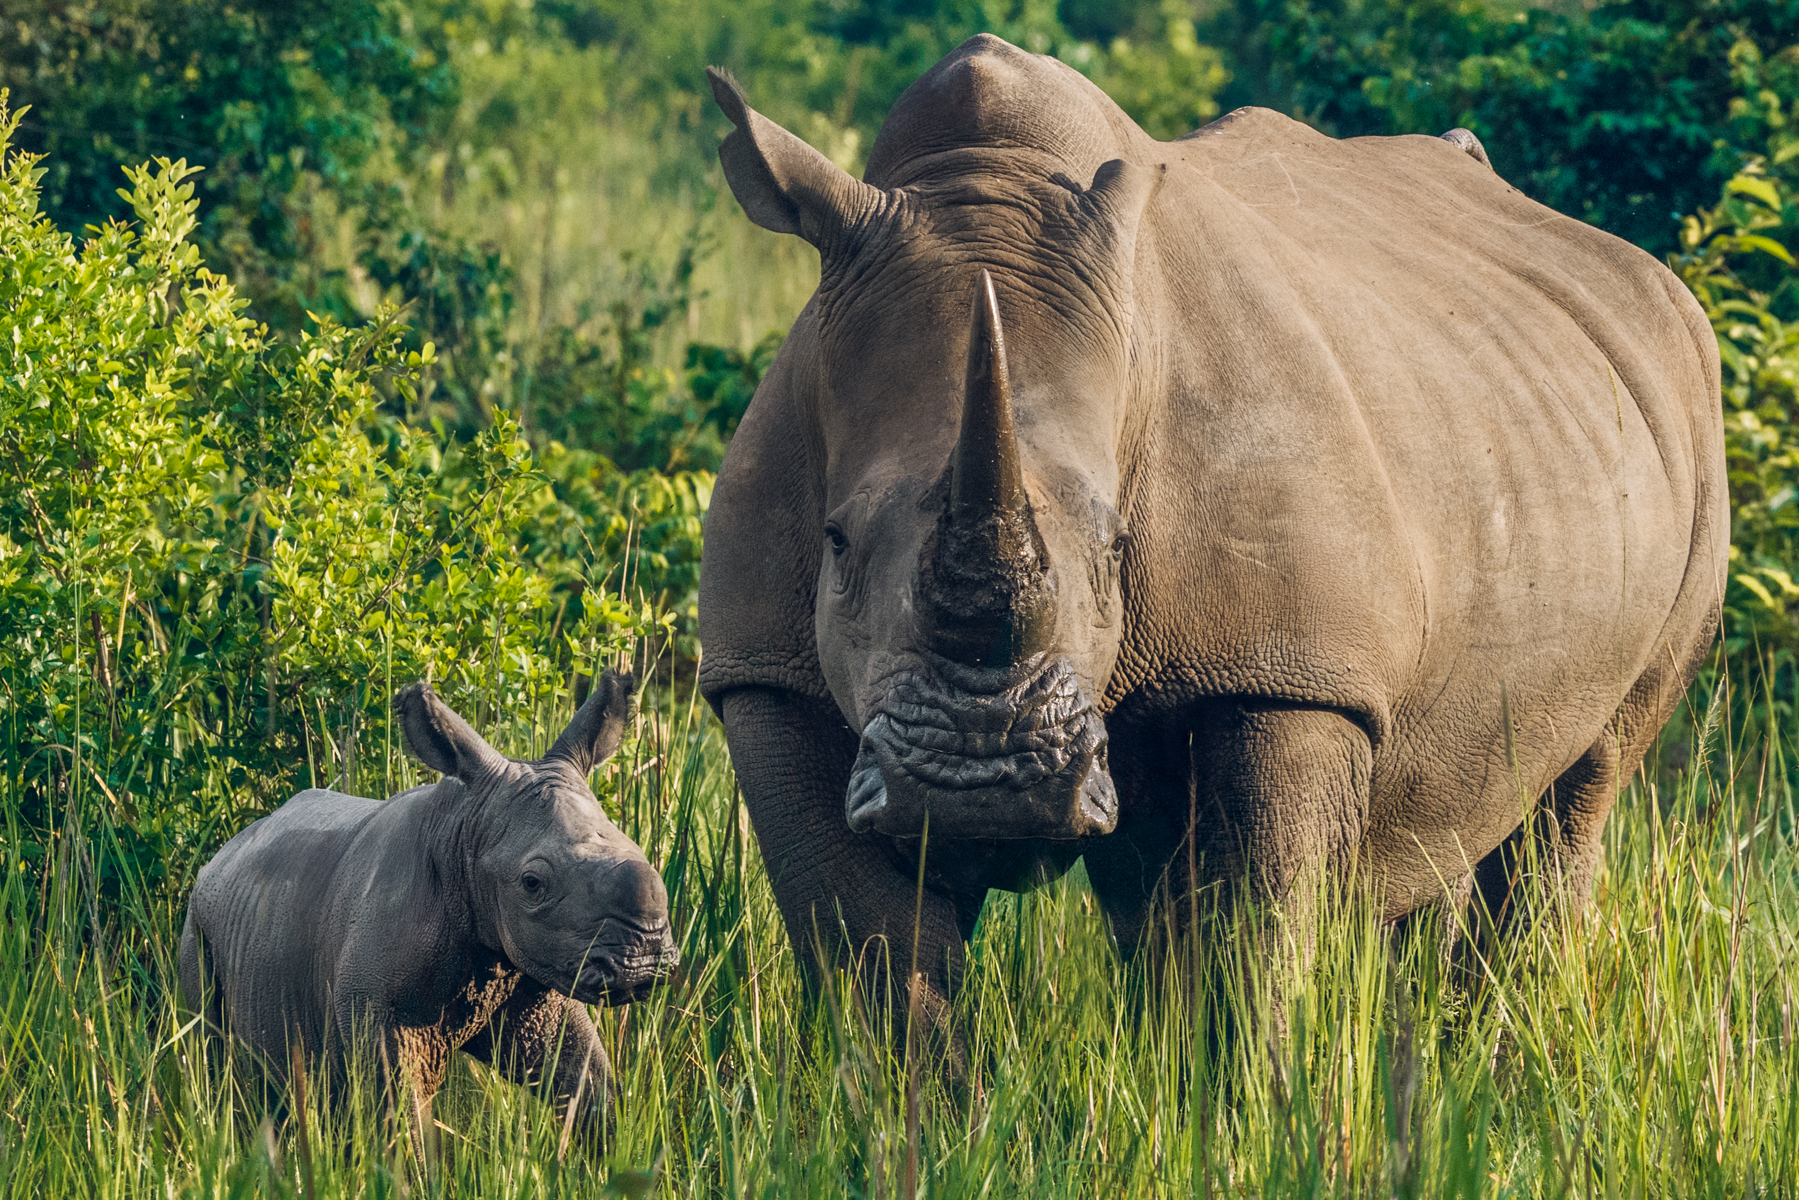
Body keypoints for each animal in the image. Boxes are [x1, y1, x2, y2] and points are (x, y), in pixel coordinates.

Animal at [180, 670, 677, 1132]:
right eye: (532, 883)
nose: (645, 960)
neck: (462, 836)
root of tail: (223, 852)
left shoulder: (537, 974)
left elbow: (591, 1089)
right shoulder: (381, 1010)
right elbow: (402, 1118)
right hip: (198, 919)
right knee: (210, 1052)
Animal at [697, 35, 1726, 1021]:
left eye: (1117, 550)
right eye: (835, 543)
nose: (979, 781)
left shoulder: (1290, 670)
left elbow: (1248, 948)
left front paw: (1245, 1082)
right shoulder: (769, 673)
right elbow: (873, 971)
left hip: (1683, 418)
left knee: (1580, 784)